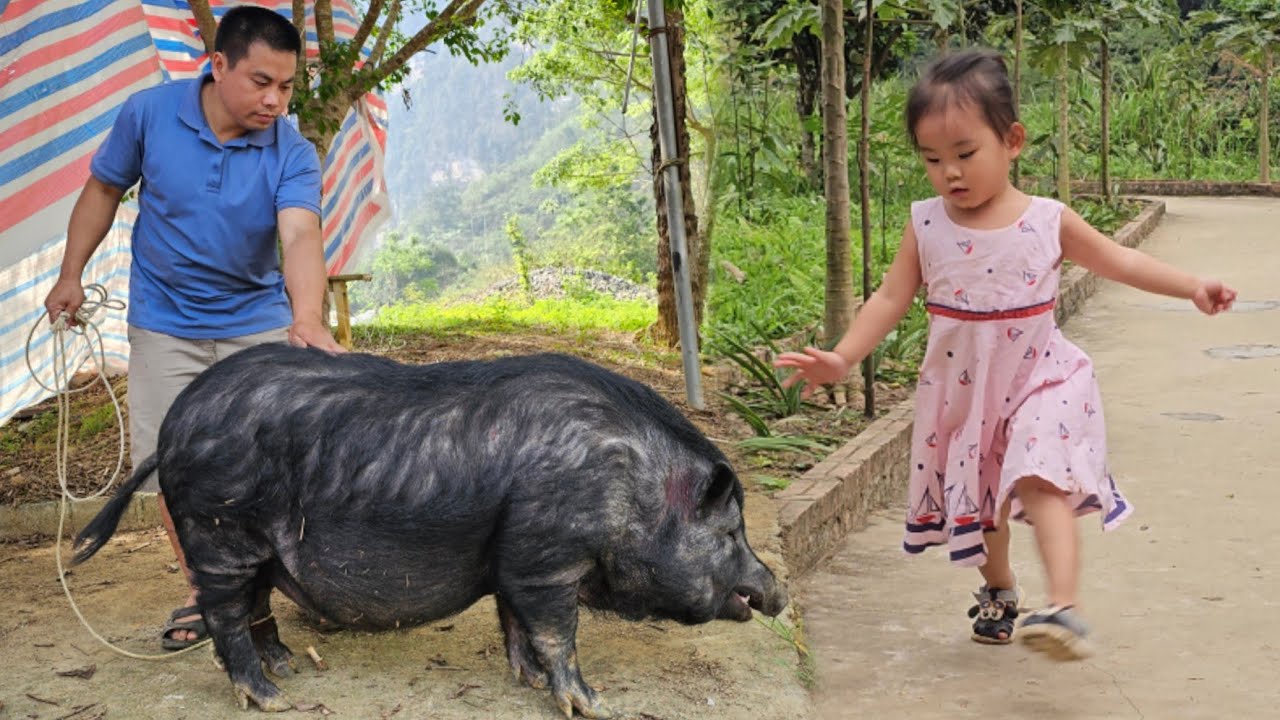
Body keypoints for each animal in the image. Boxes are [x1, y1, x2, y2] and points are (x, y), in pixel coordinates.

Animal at [73, 344, 788, 717]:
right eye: (731, 534)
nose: (777, 590)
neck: (630, 487)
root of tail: (171, 429)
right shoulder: (547, 557)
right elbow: (557, 632)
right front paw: (590, 704)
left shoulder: (513, 559)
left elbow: (513, 622)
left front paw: (528, 684)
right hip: (218, 532)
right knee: (224, 612)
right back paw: (271, 697)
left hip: (248, 545)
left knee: (254, 604)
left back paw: (288, 666)